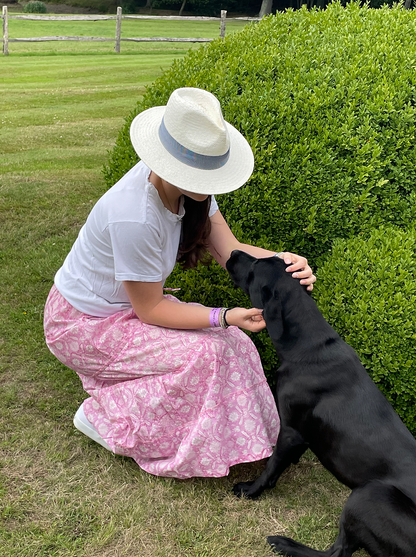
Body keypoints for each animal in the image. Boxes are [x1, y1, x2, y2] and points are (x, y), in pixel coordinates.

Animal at [226, 251, 416, 556]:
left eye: (254, 267)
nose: (233, 253)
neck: (307, 344)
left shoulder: (291, 430)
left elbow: (272, 465)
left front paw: (251, 490)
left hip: (368, 494)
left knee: (337, 552)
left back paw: (284, 543)